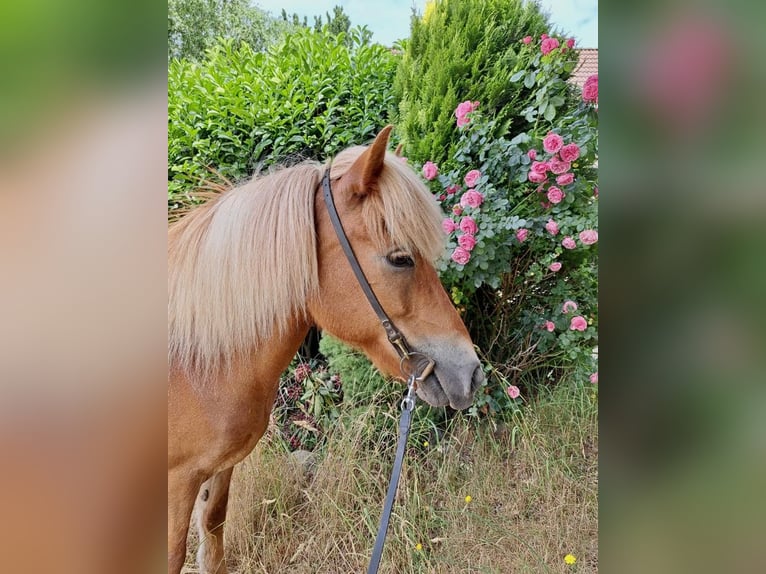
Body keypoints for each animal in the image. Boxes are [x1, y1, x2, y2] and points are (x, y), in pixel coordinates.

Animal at [170, 127, 486, 574]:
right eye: (400, 258)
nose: (471, 372)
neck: (196, 365)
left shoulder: (219, 470)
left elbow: (213, 539)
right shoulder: (176, 484)